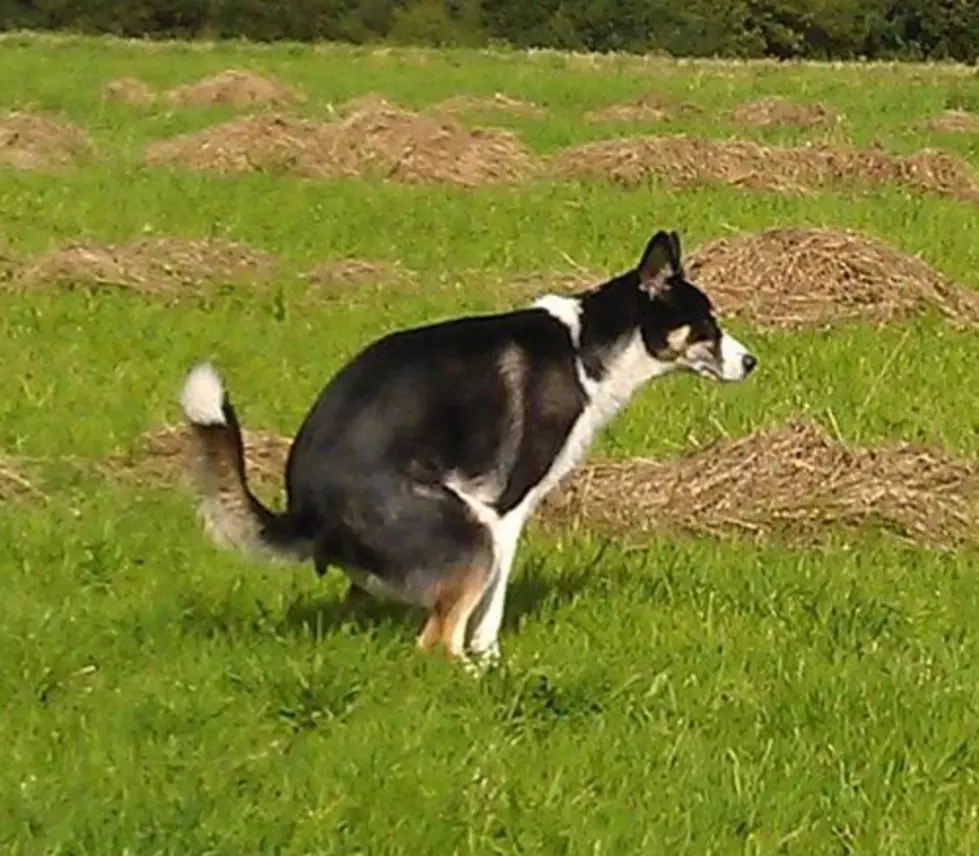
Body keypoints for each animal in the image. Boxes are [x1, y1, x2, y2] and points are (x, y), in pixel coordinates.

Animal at [178, 227, 756, 668]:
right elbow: (492, 609)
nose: (751, 362)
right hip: (468, 533)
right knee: (435, 642)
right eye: (707, 324)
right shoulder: (505, 509)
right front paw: (493, 659)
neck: (587, 347)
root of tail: (304, 511)